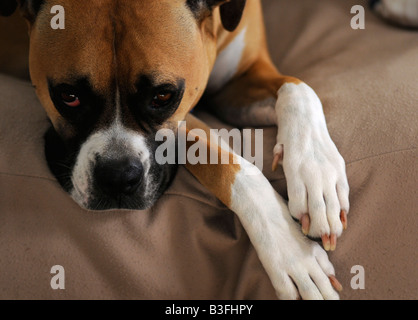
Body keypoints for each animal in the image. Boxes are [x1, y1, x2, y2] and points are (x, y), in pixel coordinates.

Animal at [0, 0, 350, 300]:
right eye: (69, 96)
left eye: (163, 96)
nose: (117, 177)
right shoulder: (189, 118)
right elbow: (230, 164)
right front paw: (292, 251)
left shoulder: (237, 80)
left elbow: (298, 87)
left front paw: (317, 175)